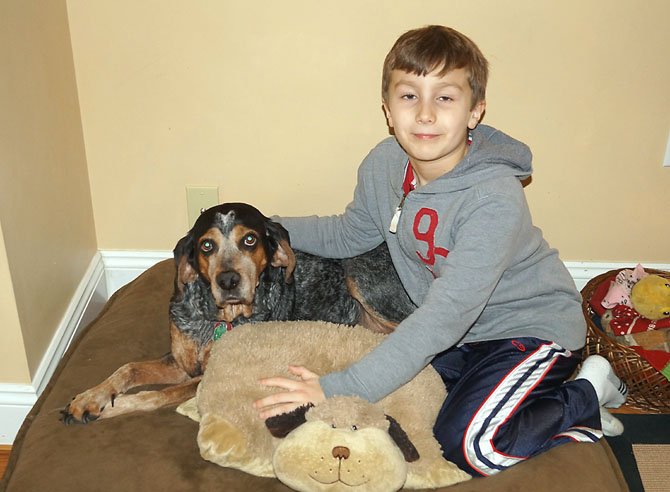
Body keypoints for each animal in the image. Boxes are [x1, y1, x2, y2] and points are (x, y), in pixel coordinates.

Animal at [64, 204, 420, 422]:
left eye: (249, 240)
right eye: (206, 245)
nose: (228, 281)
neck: (214, 319)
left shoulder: (205, 376)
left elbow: (157, 395)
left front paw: (116, 406)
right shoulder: (181, 364)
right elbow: (128, 369)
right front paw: (89, 397)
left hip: (358, 274)